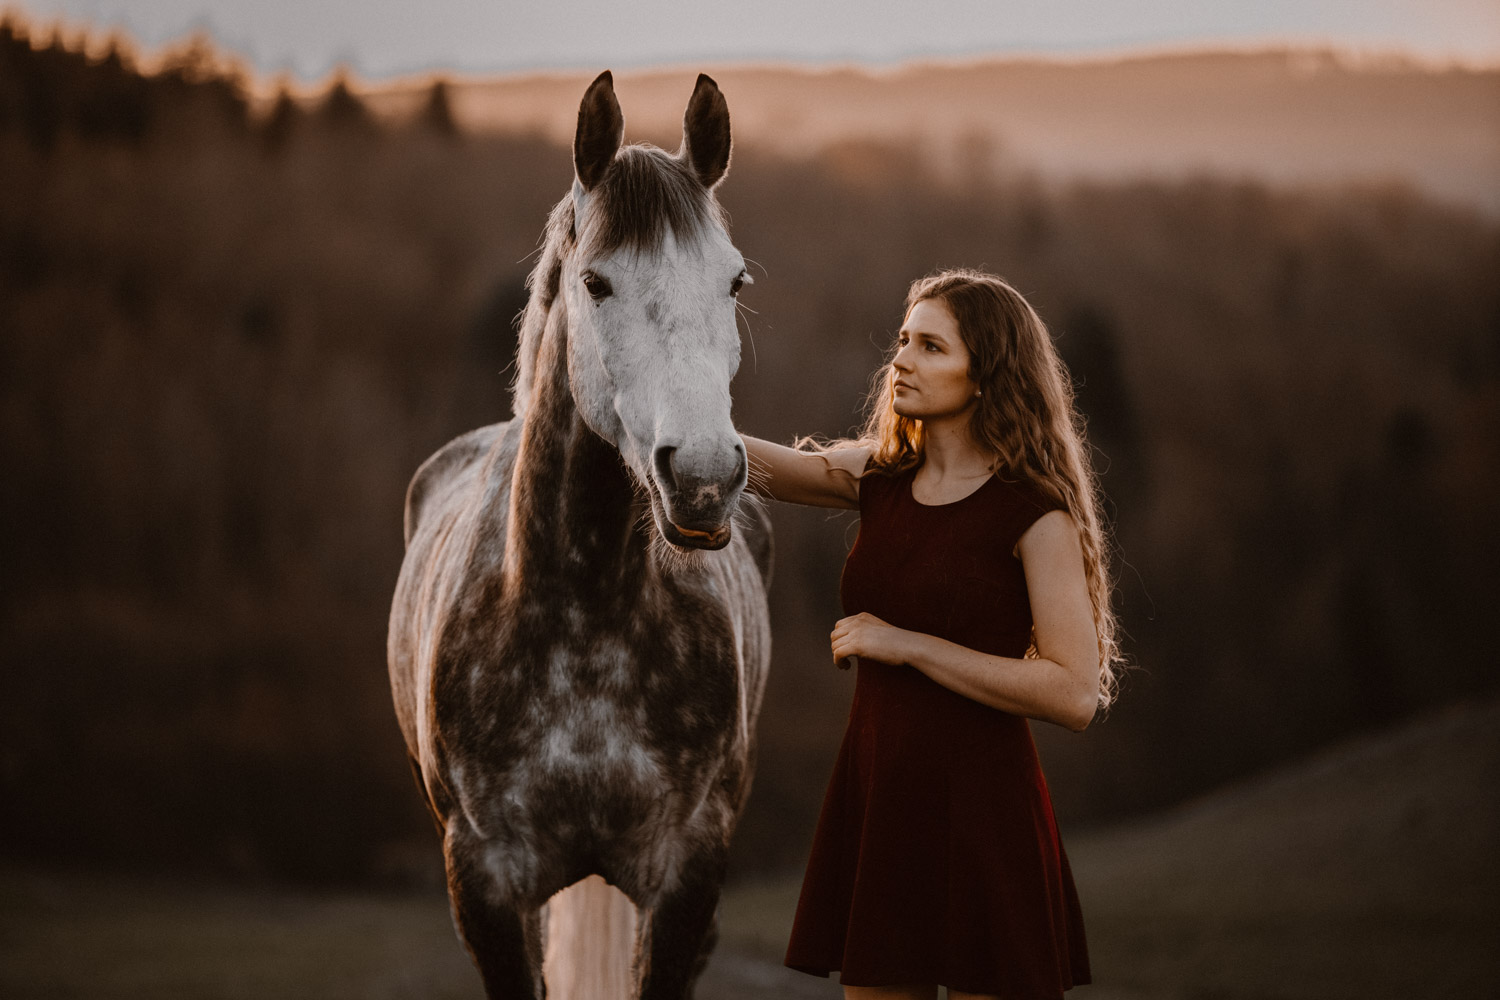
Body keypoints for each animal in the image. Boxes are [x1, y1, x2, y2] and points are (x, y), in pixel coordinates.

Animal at [387, 72, 774, 1000]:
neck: (585, 613)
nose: (703, 474)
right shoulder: (485, 885)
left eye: (734, 283)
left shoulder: (686, 877)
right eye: (596, 283)